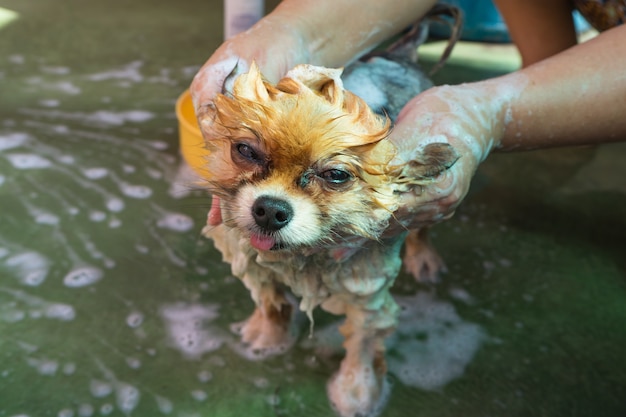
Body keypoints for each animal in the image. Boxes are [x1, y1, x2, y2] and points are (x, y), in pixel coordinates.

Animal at [199, 7, 458, 416]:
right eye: (246, 150)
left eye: (336, 175)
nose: (270, 210)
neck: (302, 258)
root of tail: (398, 54)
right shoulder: (253, 261)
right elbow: (270, 302)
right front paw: (267, 337)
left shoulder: (367, 287)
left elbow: (364, 343)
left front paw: (357, 393)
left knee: (424, 223)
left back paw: (425, 257)